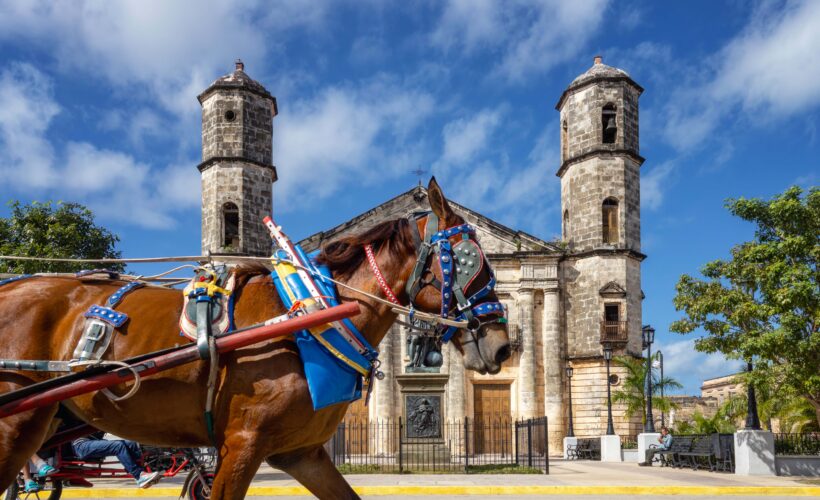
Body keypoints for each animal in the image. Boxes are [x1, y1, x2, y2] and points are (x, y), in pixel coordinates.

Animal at [0, 179, 510, 496]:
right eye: (471, 260)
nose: (501, 344)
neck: (310, 315)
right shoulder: (242, 445)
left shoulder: (301, 453)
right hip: (16, 422)